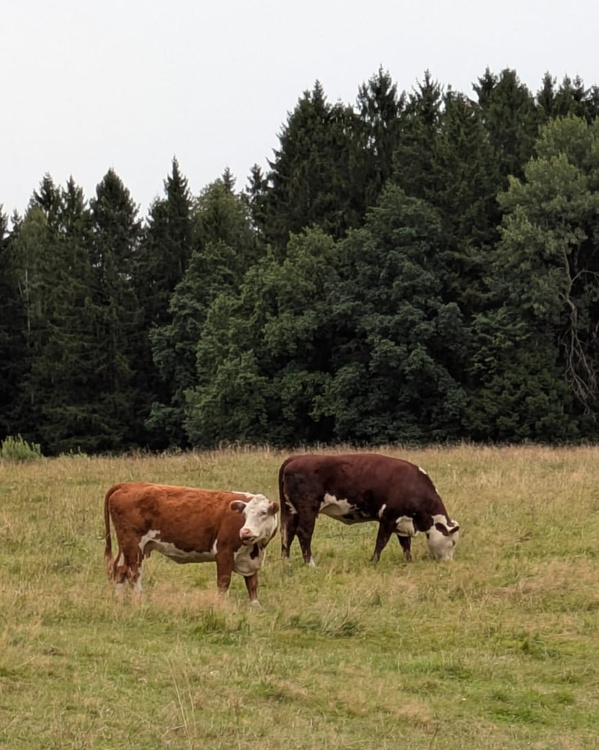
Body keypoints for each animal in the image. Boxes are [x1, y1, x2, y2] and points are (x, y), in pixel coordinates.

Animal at [104, 482, 279, 605]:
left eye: (263, 512)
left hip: (125, 544)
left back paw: (120, 601)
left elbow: (252, 584)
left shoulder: (251, 560)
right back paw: (140, 599)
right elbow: (223, 582)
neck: (257, 549)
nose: (245, 532)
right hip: (134, 543)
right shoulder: (224, 552)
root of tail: (128, 485)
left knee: (120, 569)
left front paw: (255, 607)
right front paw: (220, 606)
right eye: (244, 514)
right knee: (133, 572)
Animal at [279, 453, 459, 566]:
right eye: (453, 542)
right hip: (308, 509)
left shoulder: (403, 521)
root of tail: (295, 458)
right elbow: (381, 541)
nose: (449, 562)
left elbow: (405, 545)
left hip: (290, 510)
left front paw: (409, 562)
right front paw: (374, 561)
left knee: (287, 532)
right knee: (303, 533)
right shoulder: (388, 517)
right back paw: (310, 563)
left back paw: (287, 562)